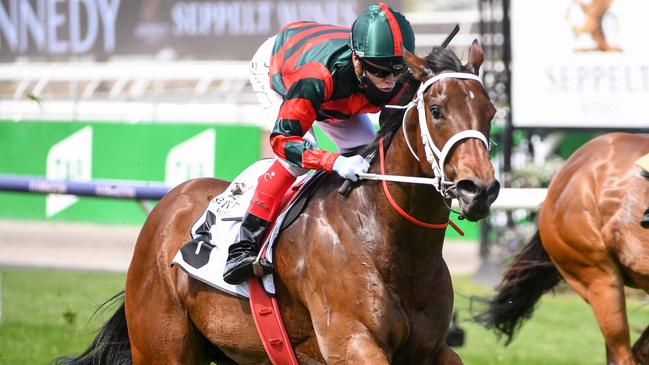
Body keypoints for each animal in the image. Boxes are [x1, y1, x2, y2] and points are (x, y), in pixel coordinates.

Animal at [58, 41, 498, 364]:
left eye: (491, 111)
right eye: (437, 110)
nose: (478, 188)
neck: (387, 242)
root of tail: (167, 207)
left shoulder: (432, 350)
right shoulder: (352, 345)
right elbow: (286, 138)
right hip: (161, 346)